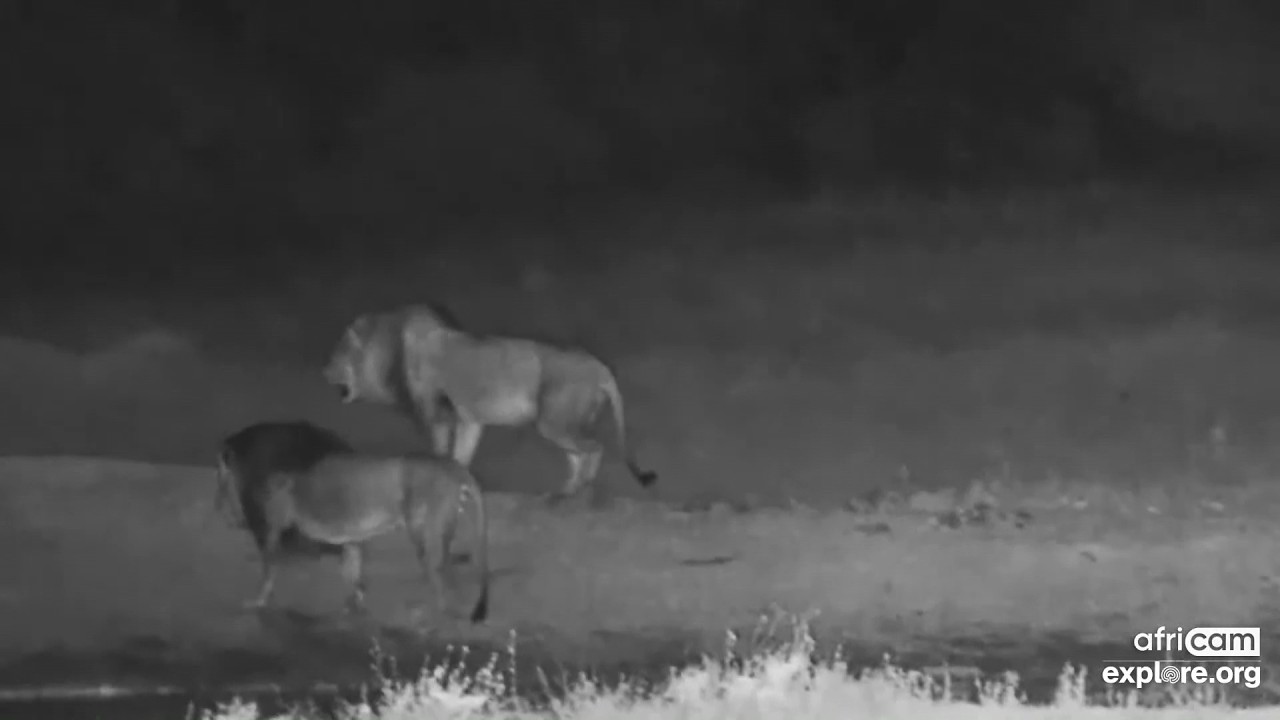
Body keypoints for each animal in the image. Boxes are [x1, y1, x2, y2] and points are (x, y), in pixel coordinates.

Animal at [238, 447, 489, 623]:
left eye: (265, 501)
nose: (260, 520)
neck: (299, 490)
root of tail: (453, 465)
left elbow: (269, 571)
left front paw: (257, 601)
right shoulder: (351, 537)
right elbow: (351, 573)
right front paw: (357, 603)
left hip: (424, 529)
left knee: (438, 570)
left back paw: (436, 611)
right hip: (443, 527)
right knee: (447, 568)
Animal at [322, 304, 657, 503]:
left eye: (337, 355)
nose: (324, 371)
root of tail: (599, 366)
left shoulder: (435, 416)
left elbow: (440, 453)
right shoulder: (469, 420)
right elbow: (461, 457)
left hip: (553, 421)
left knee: (594, 449)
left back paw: (580, 489)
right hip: (560, 423)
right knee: (578, 455)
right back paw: (564, 492)